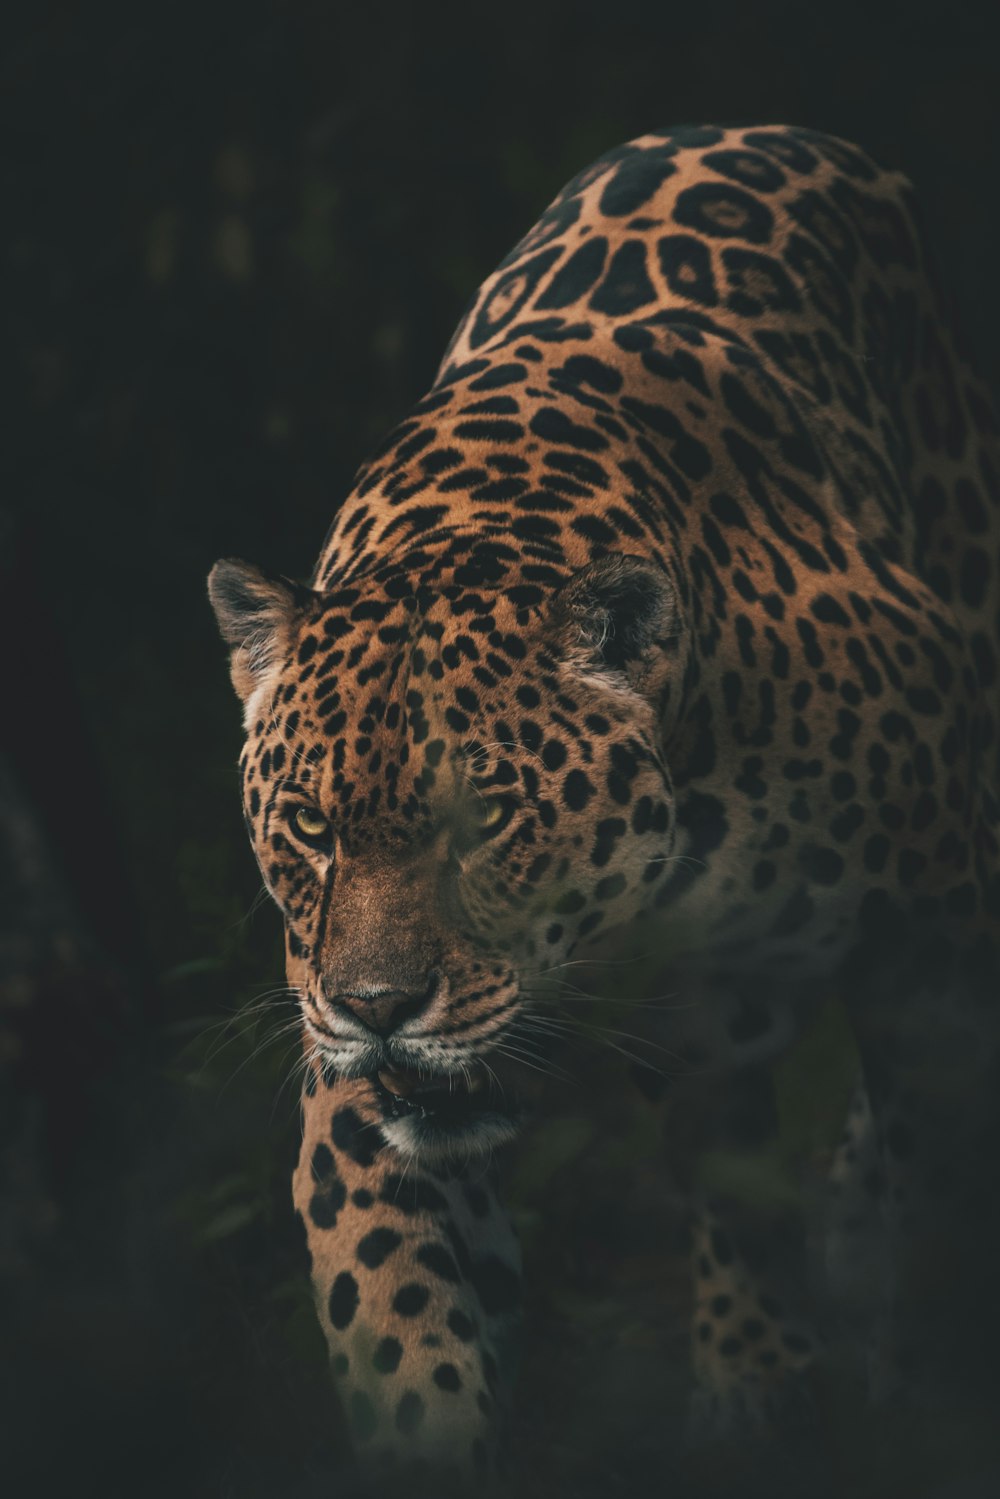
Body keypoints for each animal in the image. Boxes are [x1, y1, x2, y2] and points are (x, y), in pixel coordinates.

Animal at [206, 125, 995, 1487]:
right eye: (307, 825)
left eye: (483, 817)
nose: (377, 1008)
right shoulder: (346, 1077)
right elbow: (399, 1311)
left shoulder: (939, 922)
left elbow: (936, 1168)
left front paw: (921, 1386)